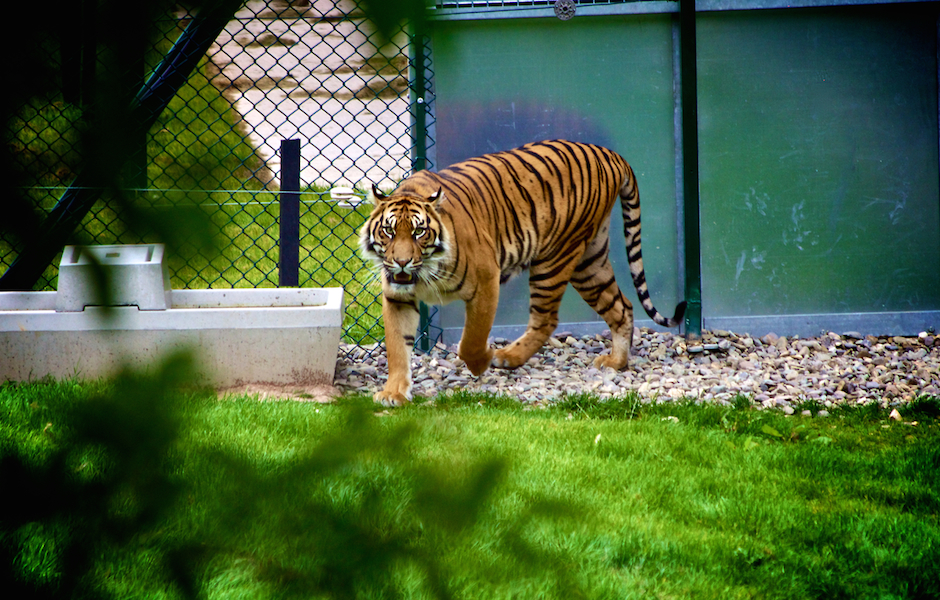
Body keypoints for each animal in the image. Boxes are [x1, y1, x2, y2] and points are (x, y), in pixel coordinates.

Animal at [360, 139, 685, 406]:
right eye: (389, 231)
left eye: (419, 232)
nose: (401, 262)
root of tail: (610, 154)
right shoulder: (397, 297)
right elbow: (397, 348)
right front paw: (393, 393)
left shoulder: (486, 281)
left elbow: (470, 341)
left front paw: (482, 362)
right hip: (589, 262)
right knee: (621, 306)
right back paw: (615, 362)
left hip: (555, 258)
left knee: (547, 319)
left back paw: (507, 357)